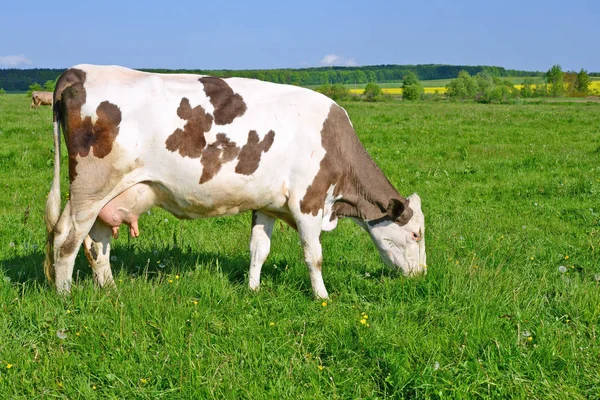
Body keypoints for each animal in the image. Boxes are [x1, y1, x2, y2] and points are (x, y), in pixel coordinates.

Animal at [43, 64, 426, 298]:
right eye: (416, 234)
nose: (422, 275)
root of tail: (80, 70)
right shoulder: (308, 201)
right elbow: (313, 255)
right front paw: (322, 296)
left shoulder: (267, 203)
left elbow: (259, 250)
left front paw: (253, 289)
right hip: (89, 189)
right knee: (65, 239)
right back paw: (66, 296)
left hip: (111, 195)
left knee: (96, 243)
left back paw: (110, 290)